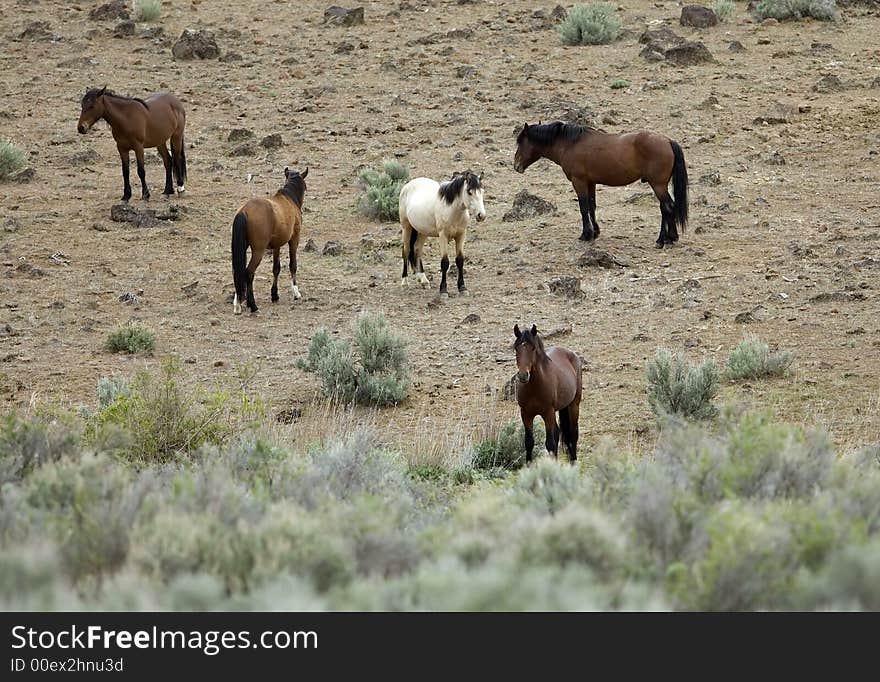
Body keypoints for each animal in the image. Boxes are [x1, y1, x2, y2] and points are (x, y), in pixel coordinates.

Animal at [230, 167, 306, 314]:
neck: (289, 199)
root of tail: (244, 211)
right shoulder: (294, 239)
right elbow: (293, 265)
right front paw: (296, 293)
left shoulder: (277, 245)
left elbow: (276, 268)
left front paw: (274, 295)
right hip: (258, 251)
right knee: (249, 272)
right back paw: (253, 305)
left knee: (238, 271)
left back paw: (238, 305)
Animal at [512, 121, 692, 247]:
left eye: (521, 142)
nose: (516, 165)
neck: (570, 144)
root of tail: (667, 141)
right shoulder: (590, 182)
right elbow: (592, 206)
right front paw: (595, 232)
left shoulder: (579, 181)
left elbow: (584, 207)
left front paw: (586, 235)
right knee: (667, 207)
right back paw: (671, 237)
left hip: (658, 185)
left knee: (667, 207)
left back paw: (662, 240)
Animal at [512, 324, 580, 462]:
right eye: (516, 349)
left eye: (533, 348)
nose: (523, 375)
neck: (534, 388)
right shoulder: (526, 414)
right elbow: (529, 442)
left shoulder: (547, 413)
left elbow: (550, 444)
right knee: (558, 433)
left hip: (574, 405)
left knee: (573, 434)